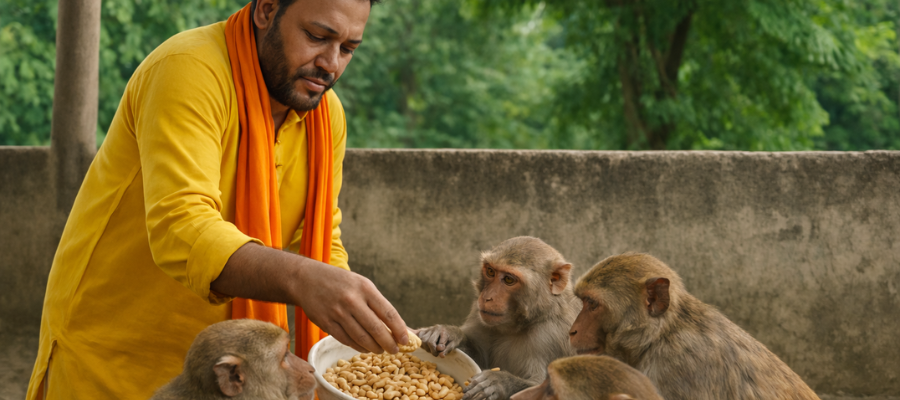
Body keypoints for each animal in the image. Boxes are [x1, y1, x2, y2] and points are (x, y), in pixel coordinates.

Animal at [416, 236, 582, 400]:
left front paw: (499, 382)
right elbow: (478, 357)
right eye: (490, 271)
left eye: (509, 280)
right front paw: (447, 333)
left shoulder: (551, 336)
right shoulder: (479, 314)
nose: (487, 297)